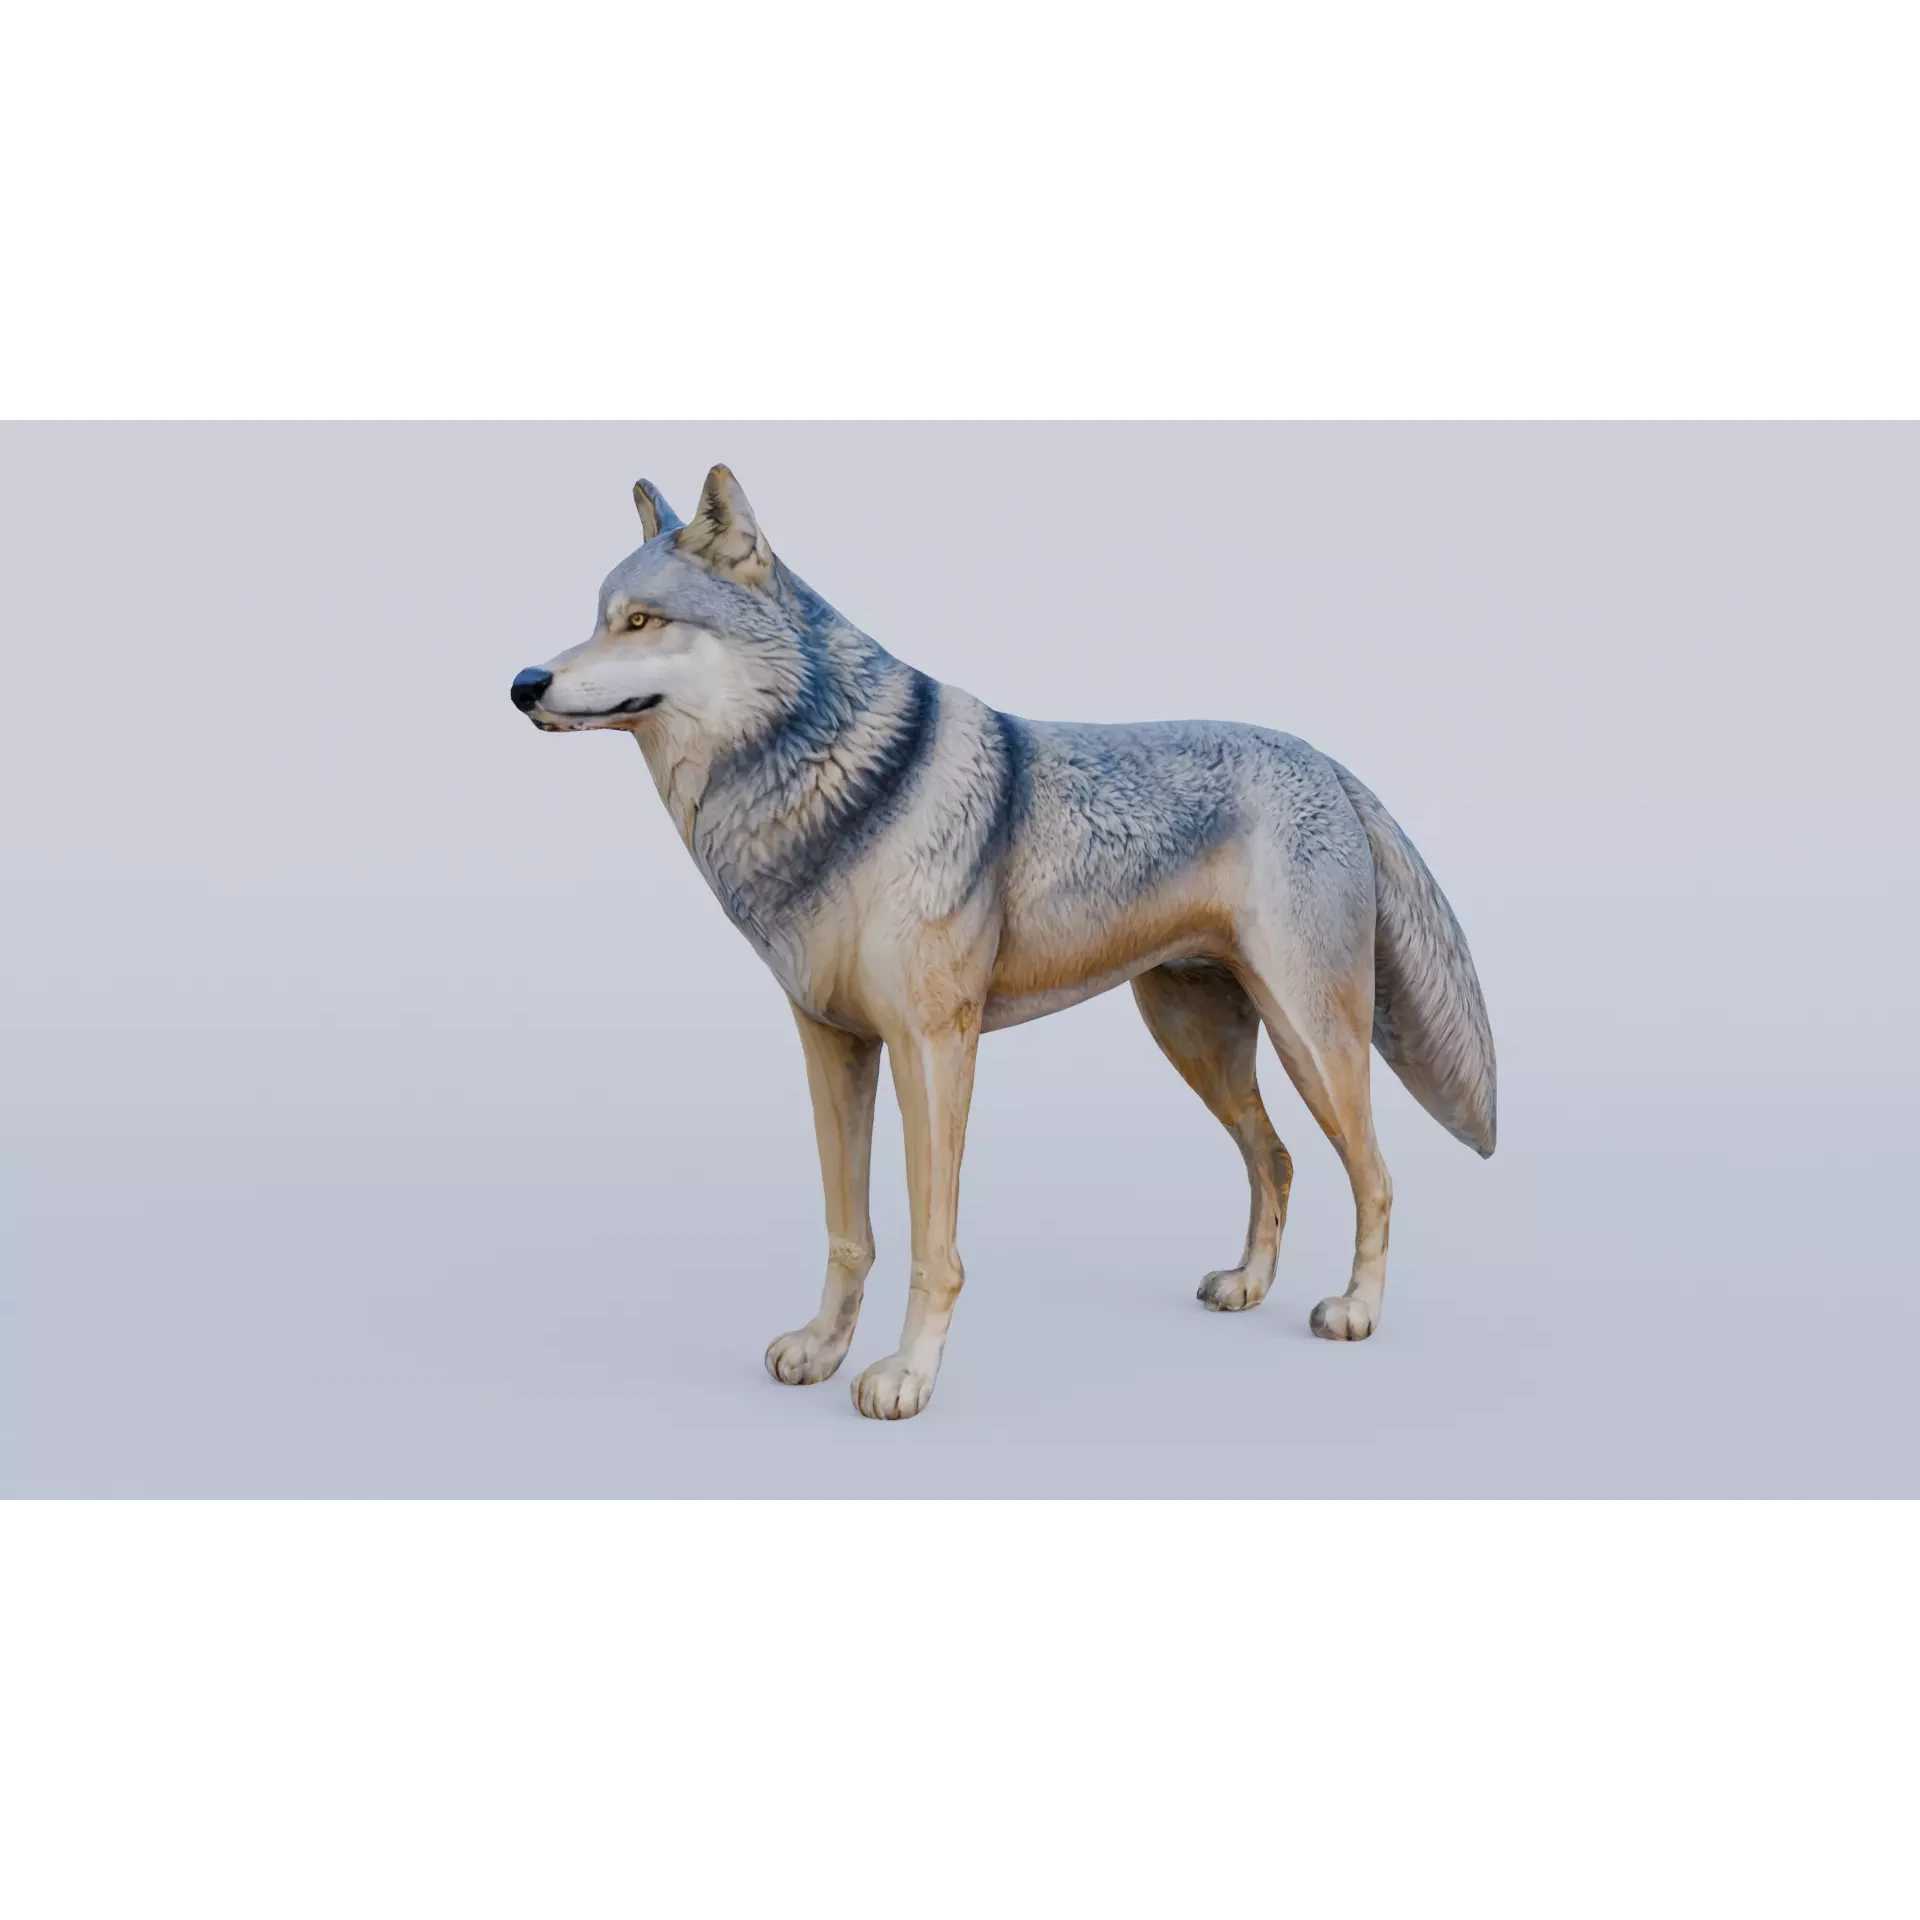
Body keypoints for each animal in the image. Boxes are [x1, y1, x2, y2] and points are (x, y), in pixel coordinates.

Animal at [511, 466, 1496, 1419]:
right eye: (597, 620)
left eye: (642, 621)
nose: (524, 684)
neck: (830, 791)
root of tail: (1326, 762)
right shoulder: (832, 1043)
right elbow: (848, 1230)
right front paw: (823, 1350)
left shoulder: (933, 1049)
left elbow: (930, 1244)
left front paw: (906, 1378)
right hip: (1197, 1042)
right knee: (1277, 1157)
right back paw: (1248, 1286)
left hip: (1310, 1043)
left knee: (1375, 1174)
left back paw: (1355, 1311)